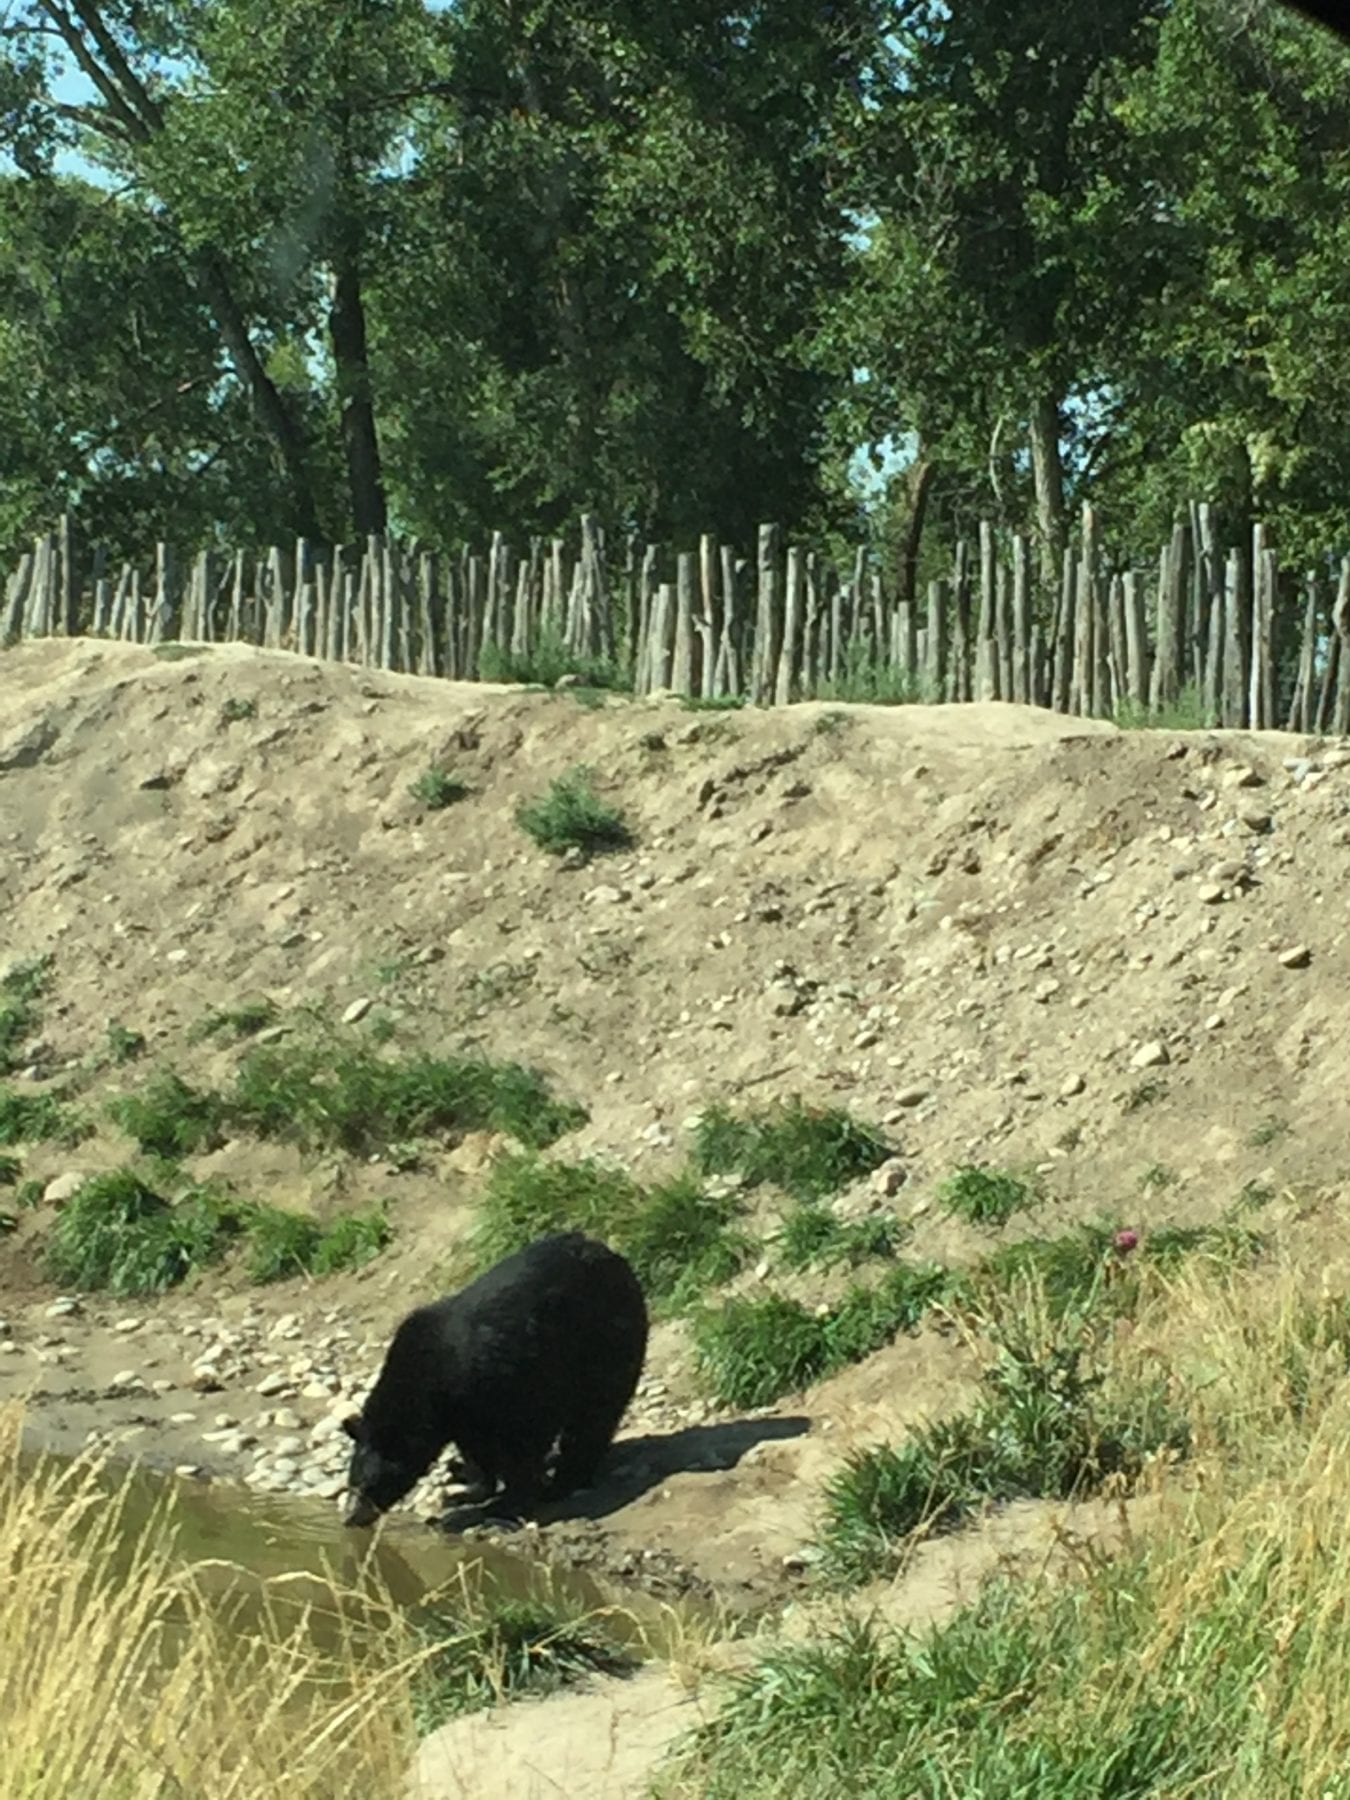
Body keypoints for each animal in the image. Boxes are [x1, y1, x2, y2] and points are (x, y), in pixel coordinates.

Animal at [343, 1231, 651, 1526]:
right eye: (351, 1482)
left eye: (368, 1487)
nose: (350, 1518)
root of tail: (617, 1259)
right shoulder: (463, 1416)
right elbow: (477, 1451)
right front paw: (467, 1490)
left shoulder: (503, 1386)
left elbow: (520, 1444)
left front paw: (504, 1503)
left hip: (605, 1342)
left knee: (594, 1418)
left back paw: (564, 1481)